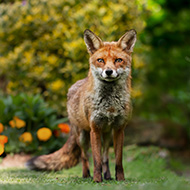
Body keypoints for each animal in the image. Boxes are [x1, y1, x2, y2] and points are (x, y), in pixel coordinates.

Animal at [27, 29, 137, 183]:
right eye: (100, 60)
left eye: (118, 60)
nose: (108, 72)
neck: (109, 105)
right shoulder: (95, 129)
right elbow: (96, 160)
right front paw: (97, 179)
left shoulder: (119, 129)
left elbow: (118, 161)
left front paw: (120, 179)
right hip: (82, 137)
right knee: (84, 157)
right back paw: (86, 175)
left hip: (107, 135)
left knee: (105, 157)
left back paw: (108, 176)